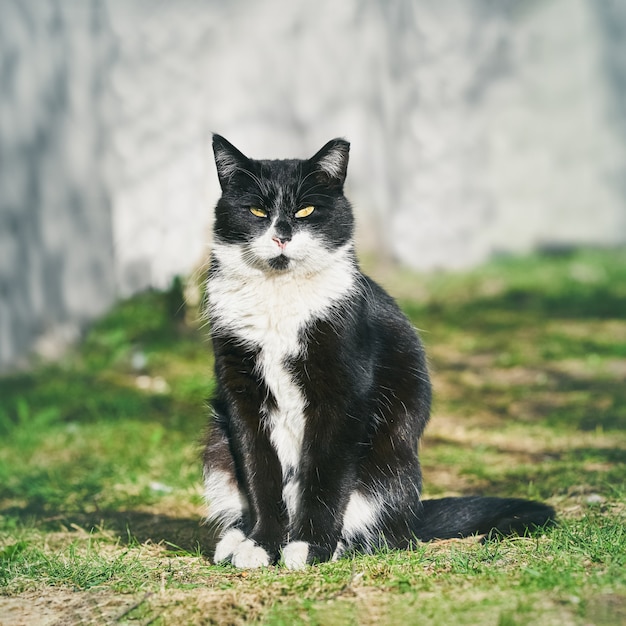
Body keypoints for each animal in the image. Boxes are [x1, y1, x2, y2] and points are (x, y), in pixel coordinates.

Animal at [202, 134, 552, 568]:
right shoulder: (242, 393)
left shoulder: (343, 393)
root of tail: (413, 514)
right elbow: (258, 470)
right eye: (256, 210)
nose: (281, 236)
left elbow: (326, 474)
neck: (278, 296)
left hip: (387, 468)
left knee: (388, 535)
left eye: (306, 209)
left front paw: (310, 546)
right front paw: (262, 544)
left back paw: (336, 544)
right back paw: (235, 540)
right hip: (218, 441)